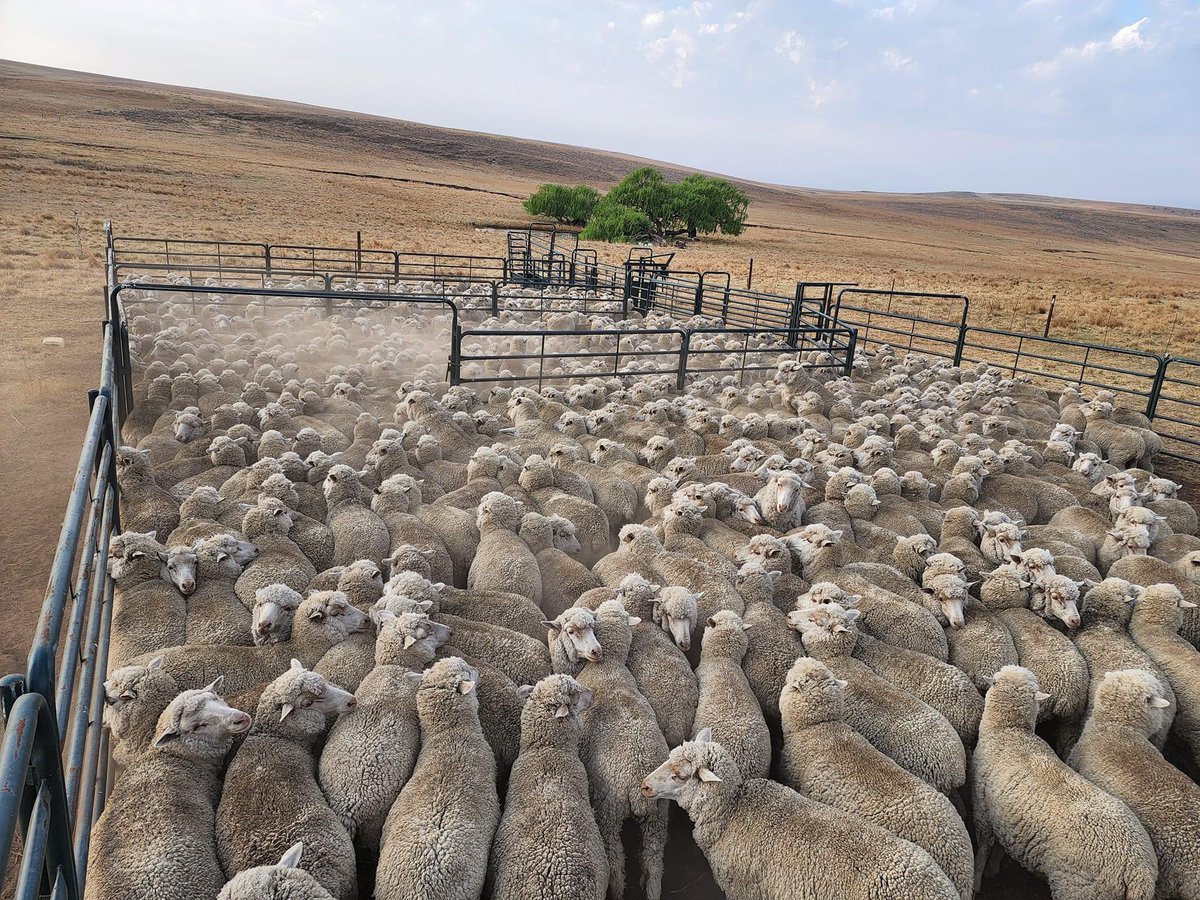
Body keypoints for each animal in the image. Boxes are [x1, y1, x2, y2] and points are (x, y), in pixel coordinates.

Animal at [972, 665, 1157, 900]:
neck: (1008, 731)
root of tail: (1138, 873)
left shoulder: (982, 808)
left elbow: (984, 848)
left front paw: (977, 881)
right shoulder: (1005, 818)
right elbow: (1000, 847)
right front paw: (994, 867)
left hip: (1079, 888)